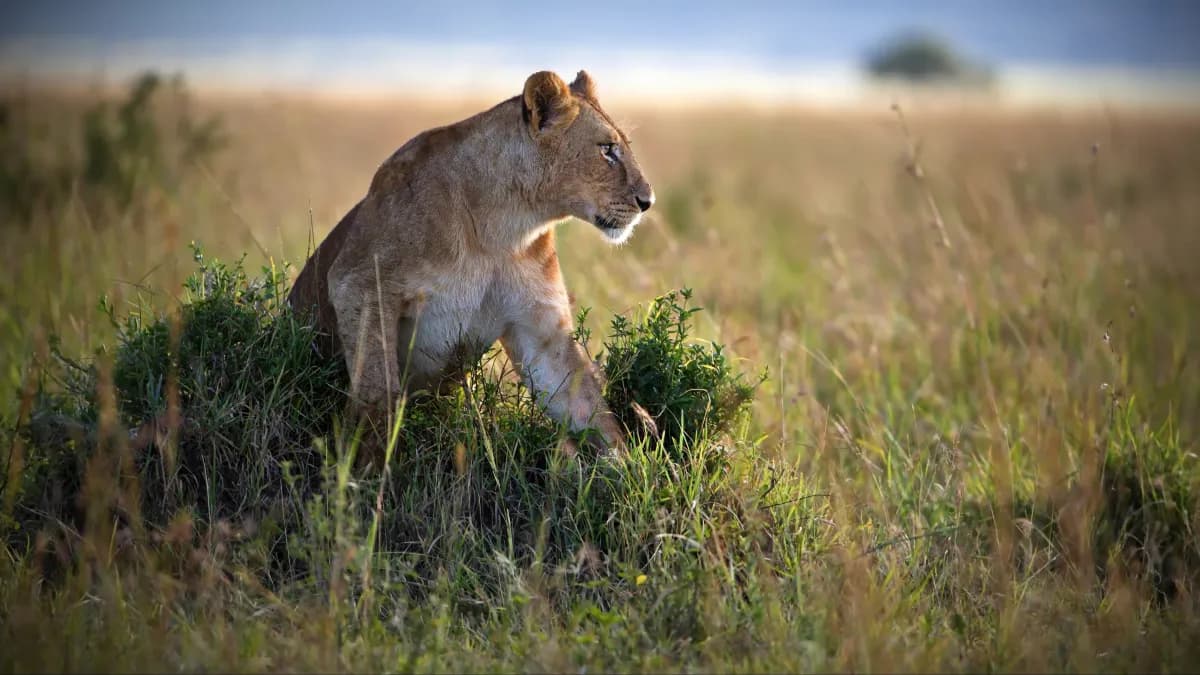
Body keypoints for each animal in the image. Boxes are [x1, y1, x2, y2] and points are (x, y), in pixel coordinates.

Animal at [287, 69, 654, 456]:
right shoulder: (358, 282)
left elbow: (588, 406)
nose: (648, 201)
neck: (504, 227)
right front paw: (366, 466)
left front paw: (631, 466)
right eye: (607, 150)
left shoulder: (539, 328)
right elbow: (377, 391)